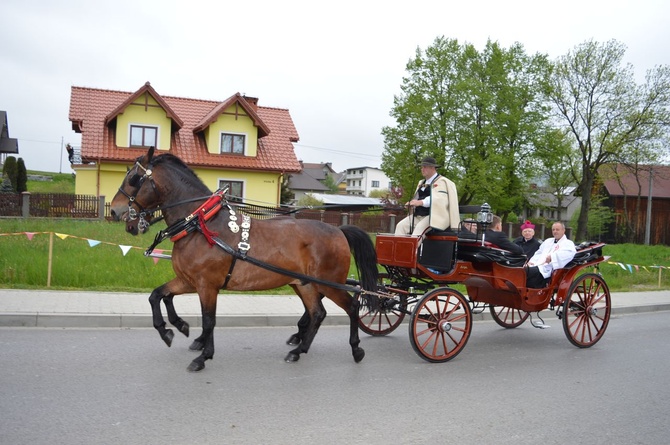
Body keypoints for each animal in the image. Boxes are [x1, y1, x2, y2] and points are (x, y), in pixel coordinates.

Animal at [113, 148, 380, 372]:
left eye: (133, 178)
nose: (116, 211)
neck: (202, 224)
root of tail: (338, 230)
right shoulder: (189, 281)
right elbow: (158, 295)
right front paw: (173, 328)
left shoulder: (207, 286)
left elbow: (209, 321)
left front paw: (203, 355)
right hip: (305, 284)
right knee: (317, 314)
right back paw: (298, 350)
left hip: (329, 283)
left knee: (352, 307)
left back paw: (355, 348)